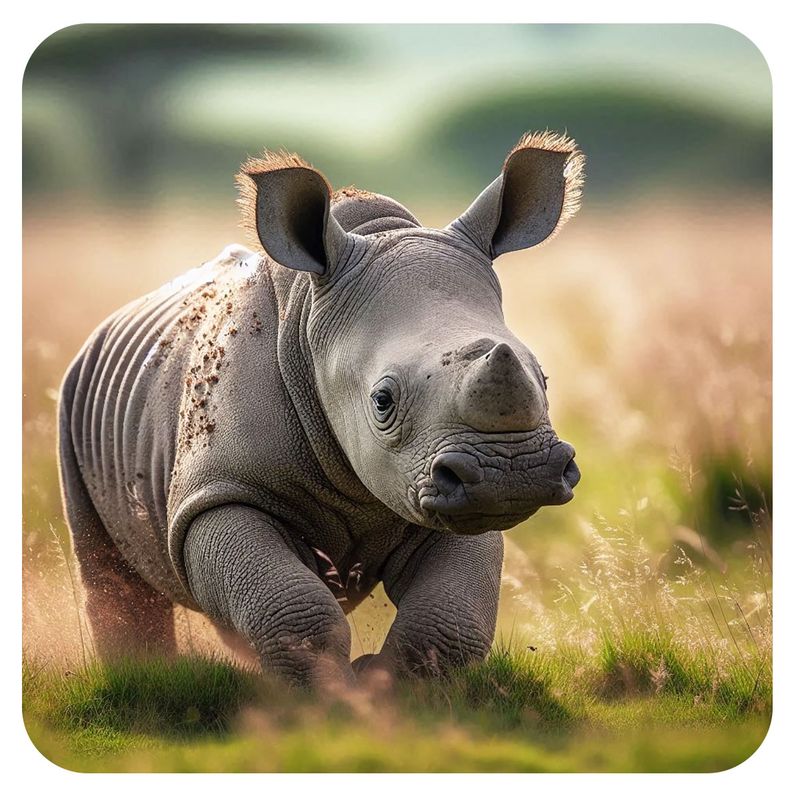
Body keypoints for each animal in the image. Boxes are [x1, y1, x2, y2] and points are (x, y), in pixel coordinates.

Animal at [57, 131, 584, 687]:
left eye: (543, 377)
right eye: (382, 401)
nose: (511, 472)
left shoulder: (455, 493)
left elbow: (450, 615)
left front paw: (390, 687)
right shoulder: (219, 491)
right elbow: (291, 605)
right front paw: (325, 694)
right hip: (75, 395)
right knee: (108, 569)